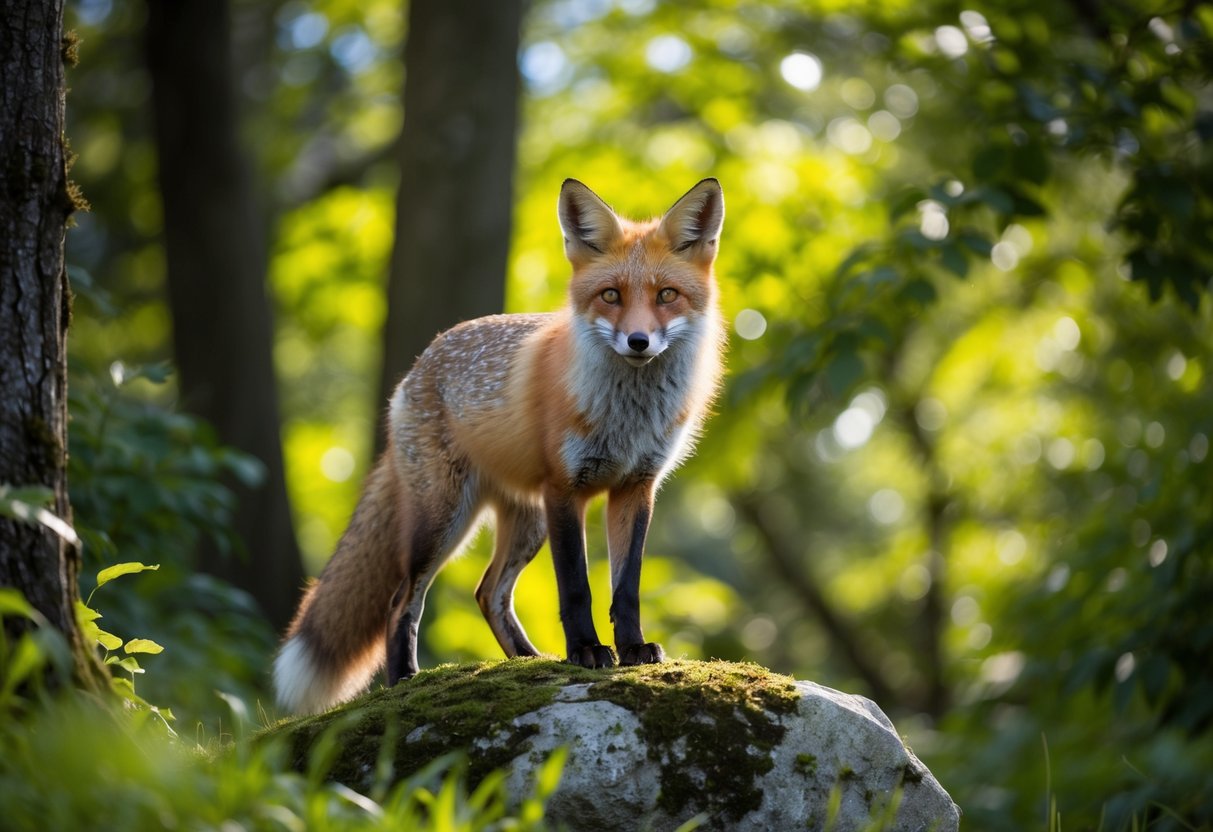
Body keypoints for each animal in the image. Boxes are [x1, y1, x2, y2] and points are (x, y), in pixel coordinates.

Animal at [274, 178, 726, 715]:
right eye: (611, 295)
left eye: (667, 295)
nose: (638, 341)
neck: (626, 417)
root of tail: (417, 367)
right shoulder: (564, 489)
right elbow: (576, 588)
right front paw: (586, 652)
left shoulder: (635, 488)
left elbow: (626, 588)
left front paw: (632, 649)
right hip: (445, 520)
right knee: (401, 599)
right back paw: (404, 680)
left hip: (527, 523)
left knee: (488, 593)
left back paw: (529, 660)